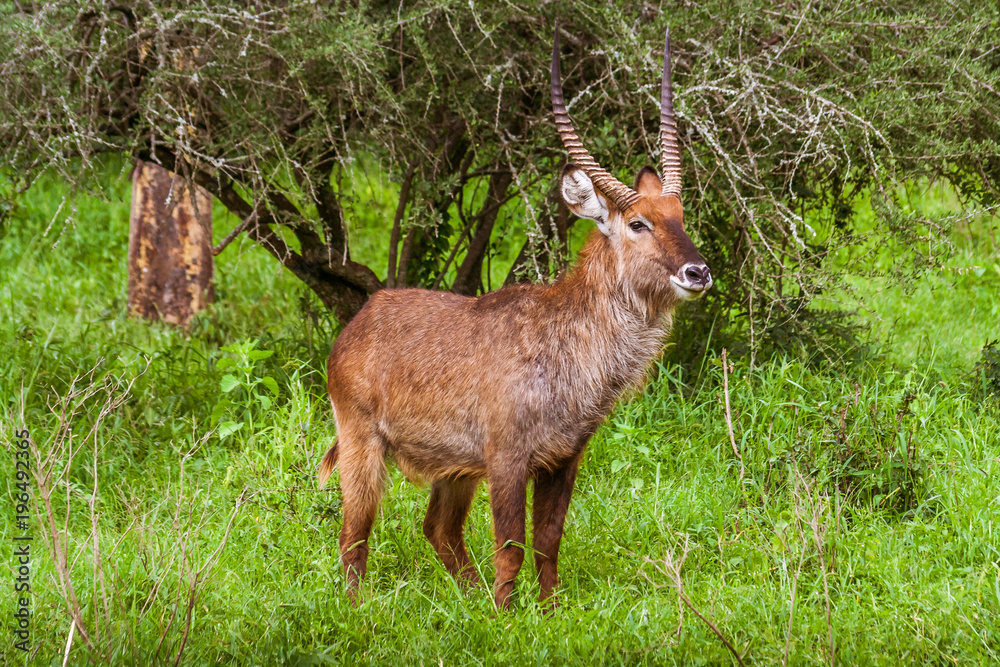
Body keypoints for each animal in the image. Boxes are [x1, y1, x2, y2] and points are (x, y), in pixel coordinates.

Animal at [318, 28, 712, 609]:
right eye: (638, 222)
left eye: (681, 217)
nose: (697, 271)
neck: (568, 340)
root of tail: (360, 319)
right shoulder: (507, 455)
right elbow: (511, 545)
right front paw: (506, 617)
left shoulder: (563, 458)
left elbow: (548, 540)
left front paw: (547, 612)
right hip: (363, 444)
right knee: (354, 533)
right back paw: (359, 607)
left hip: (456, 467)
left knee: (438, 529)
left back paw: (468, 597)